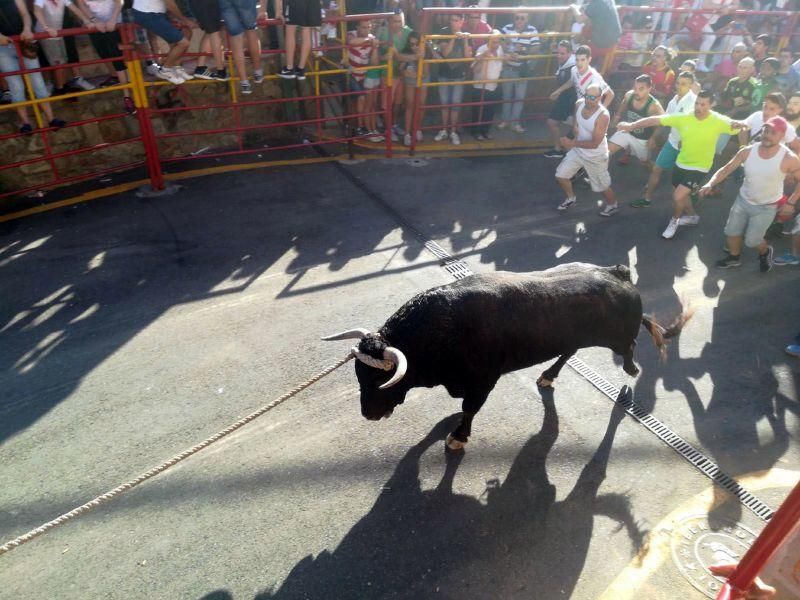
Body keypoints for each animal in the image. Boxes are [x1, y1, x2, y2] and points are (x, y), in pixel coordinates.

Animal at [320, 262, 688, 450]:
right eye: (359, 376)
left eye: (383, 378)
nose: (368, 414)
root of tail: (618, 272)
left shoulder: (483, 381)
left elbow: (469, 408)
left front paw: (458, 437)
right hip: (572, 336)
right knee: (568, 351)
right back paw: (548, 376)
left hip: (615, 337)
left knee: (630, 345)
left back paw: (631, 370)